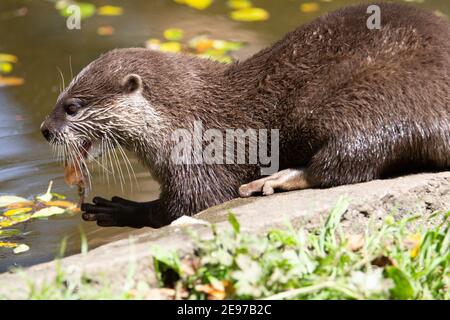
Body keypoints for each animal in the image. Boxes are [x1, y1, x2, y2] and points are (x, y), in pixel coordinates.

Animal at [40, 2, 448, 228]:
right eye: (59, 100)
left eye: (73, 107)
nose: (45, 129)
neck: (181, 115)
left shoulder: (201, 156)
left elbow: (192, 205)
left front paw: (123, 210)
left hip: (374, 96)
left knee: (346, 161)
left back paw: (276, 179)